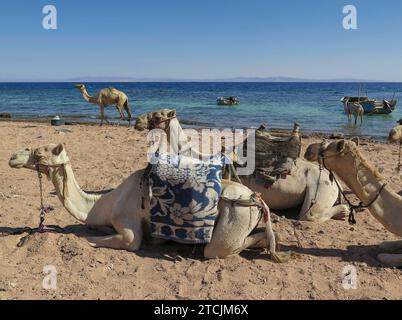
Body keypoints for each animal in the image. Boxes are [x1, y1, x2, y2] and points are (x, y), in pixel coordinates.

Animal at [8, 144, 280, 258]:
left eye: (39, 152)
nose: (12, 157)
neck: (105, 201)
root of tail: (256, 199)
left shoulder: (128, 225)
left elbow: (117, 240)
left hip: (235, 216)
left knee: (219, 248)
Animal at [135, 110, 348, 222]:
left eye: (156, 116)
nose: (137, 121)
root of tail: (335, 181)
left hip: (320, 189)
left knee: (310, 215)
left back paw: (344, 212)